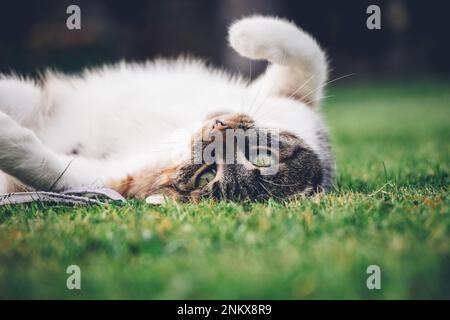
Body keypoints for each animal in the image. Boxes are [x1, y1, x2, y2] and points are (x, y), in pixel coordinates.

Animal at [0, 15, 334, 202]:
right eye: (263, 157)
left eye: (204, 178)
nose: (219, 129)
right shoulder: (291, 95)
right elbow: (310, 53)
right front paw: (243, 33)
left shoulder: (111, 179)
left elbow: (48, 167)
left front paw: (8, 139)